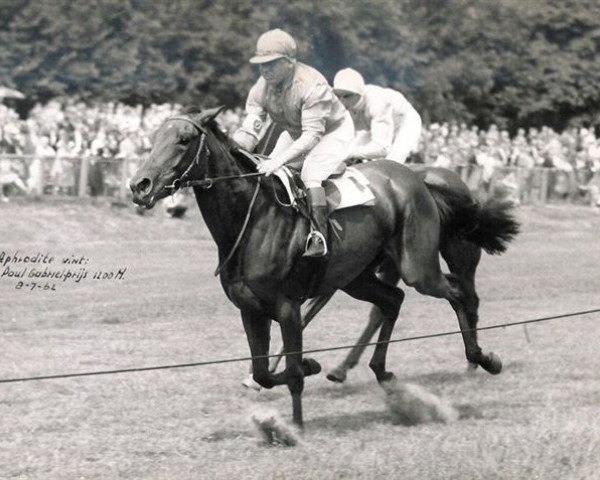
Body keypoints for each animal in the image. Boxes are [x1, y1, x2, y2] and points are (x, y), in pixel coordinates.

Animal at [129, 108, 516, 428]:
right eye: (154, 138)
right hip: (357, 278)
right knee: (393, 300)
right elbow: (263, 372)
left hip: (417, 266)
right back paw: (381, 371)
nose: (139, 185)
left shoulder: (287, 307)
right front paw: (308, 367)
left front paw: (295, 428)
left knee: (456, 291)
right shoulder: (250, 310)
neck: (252, 220)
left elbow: (292, 371)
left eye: (184, 139)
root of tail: (419, 179)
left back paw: (481, 358)